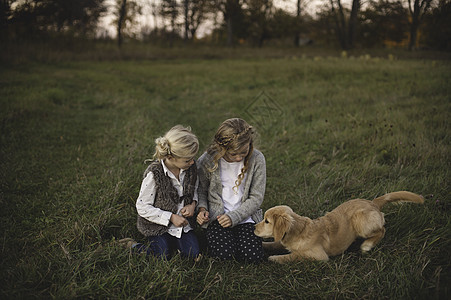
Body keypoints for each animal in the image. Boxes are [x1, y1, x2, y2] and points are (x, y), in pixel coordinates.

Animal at [256, 192, 426, 262]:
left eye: (266, 221)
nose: (253, 228)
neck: (300, 230)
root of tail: (373, 202)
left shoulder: (319, 256)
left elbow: (294, 255)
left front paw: (274, 258)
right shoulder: (282, 240)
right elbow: (274, 243)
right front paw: (264, 246)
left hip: (360, 220)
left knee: (382, 229)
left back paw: (367, 245)